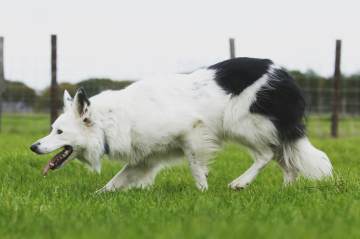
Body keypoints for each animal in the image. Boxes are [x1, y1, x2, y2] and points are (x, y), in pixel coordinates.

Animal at [30, 57, 332, 191]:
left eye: (59, 131)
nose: (33, 147)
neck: (108, 121)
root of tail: (286, 76)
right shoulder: (144, 159)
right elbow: (114, 183)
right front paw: (97, 197)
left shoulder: (191, 131)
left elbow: (196, 169)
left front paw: (203, 194)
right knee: (287, 162)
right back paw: (285, 191)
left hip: (240, 124)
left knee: (267, 154)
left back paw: (240, 183)